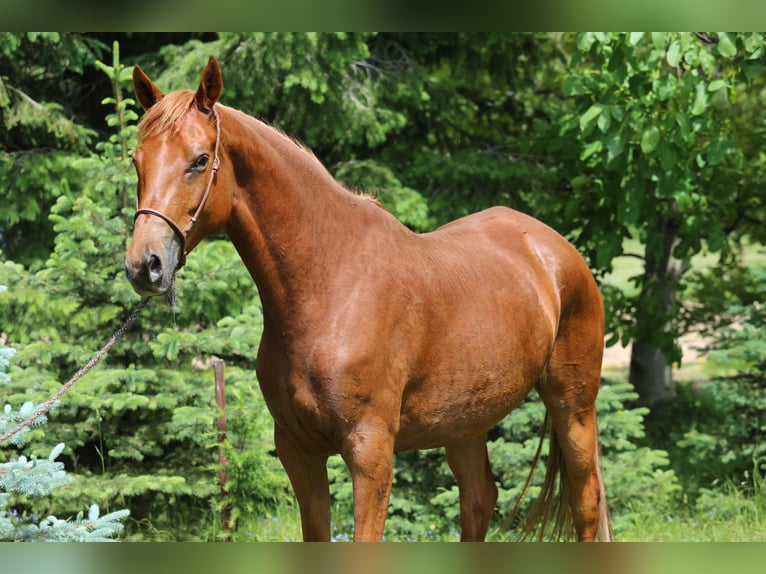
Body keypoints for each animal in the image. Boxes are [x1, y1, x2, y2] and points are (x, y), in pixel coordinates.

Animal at [125, 56, 614, 542]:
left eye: (200, 159)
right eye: (136, 160)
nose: (144, 265)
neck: (331, 285)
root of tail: (556, 250)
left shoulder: (370, 451)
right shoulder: (298, 452)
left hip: (573, 405)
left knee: (586, 501)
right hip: (466, 423)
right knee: (479, 500)